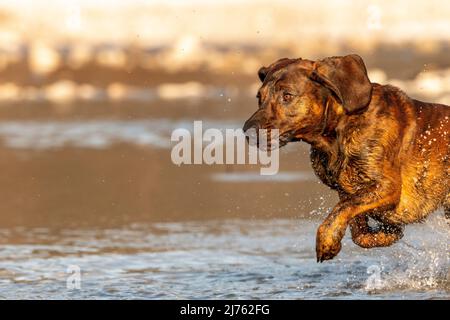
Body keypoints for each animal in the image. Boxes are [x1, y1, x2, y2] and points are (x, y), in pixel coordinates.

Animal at [244, 53, 450, 262]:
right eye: (259, 97)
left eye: (287, 96)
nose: (248, 132)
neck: (337, 132)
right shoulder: (347, 190)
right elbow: (357, 229)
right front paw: (388, 233)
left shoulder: (386, 186)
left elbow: (342, 208)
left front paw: (327, 241)